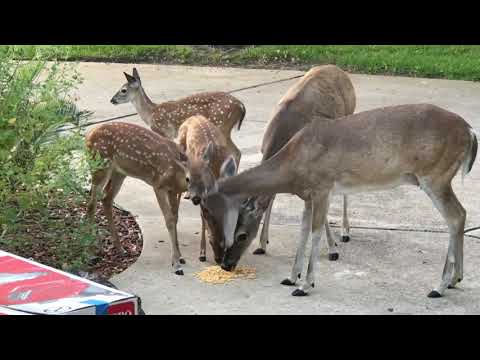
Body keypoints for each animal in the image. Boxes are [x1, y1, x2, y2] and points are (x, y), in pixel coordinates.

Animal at [85, 122, 187, 274]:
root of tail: (88, 137)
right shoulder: (159, 185)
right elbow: (169, 220)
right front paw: (176, 264)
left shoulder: (172, 191)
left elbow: (175, 218)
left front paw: (180, 256)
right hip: (100, 165)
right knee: (91, 204)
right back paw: (91, 253)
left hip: (119, 172)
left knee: (106, 198)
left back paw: (120, 249)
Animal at [110, 67, 246, 165]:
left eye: (123, 90)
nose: (112, 100)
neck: (150, 113)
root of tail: (241, 105)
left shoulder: (163, 131)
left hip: (222, 125)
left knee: (236, 152)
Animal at [175, 115, 237, 264]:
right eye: (211, 241)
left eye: (225, 243)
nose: (219, 259)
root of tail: (193, 116)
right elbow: (203, 217)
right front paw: (202, 253)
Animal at [202, 104, 476, 298]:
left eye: (241, 235)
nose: (225, 265)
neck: (294, 164)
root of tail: (471, 132)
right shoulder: (308, 195)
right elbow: (302, 231)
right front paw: (291, 277)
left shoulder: (323, 187)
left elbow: (315, 233)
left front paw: (305, 285)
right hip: (438, 177)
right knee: (461, 215)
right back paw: (455, 279)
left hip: (435, 175)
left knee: (455, 216)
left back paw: (439, 286)